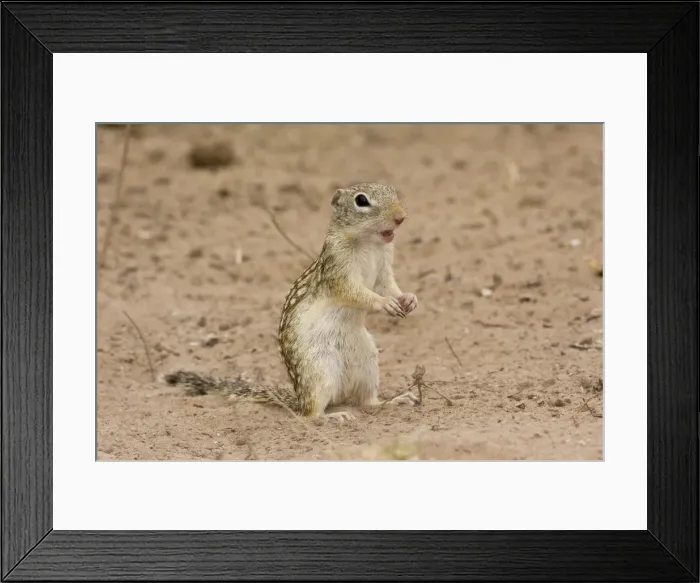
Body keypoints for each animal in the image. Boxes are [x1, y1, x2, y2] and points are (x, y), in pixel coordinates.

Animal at [165, 182, 419, 423]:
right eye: (362, 201)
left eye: (393, 191)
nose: (400, 217)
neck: (369, 244)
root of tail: (297, 397)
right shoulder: (337, 269)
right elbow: (355, 292)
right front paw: (385, 303)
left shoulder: (384, 268)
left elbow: (388, 285)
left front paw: (409, 299)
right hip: (319, 371)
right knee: (309, 414)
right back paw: (333, 416)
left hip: (367, 363)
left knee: (366, 401)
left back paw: (394, 400)